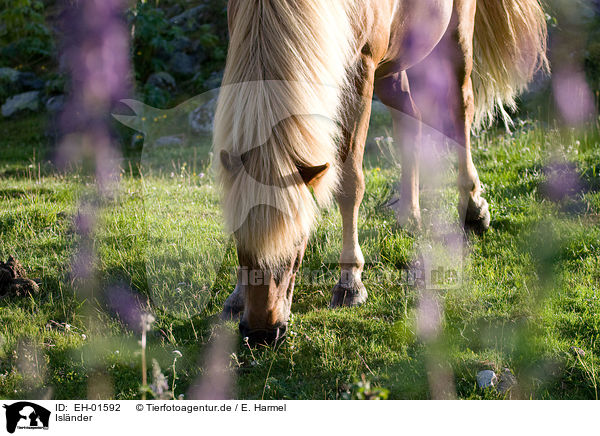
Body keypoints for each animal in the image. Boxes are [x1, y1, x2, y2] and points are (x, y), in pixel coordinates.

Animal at [214, 0, 548, 344]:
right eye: (237, 237)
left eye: (297, 242)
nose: (261, 333)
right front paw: (237, 296)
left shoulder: (361, 70)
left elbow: (350, 183)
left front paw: (350, 282)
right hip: (396, 60)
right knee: (410, 120)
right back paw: (409, 215)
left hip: (454, 38)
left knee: (461, 107)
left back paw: (473, 207)